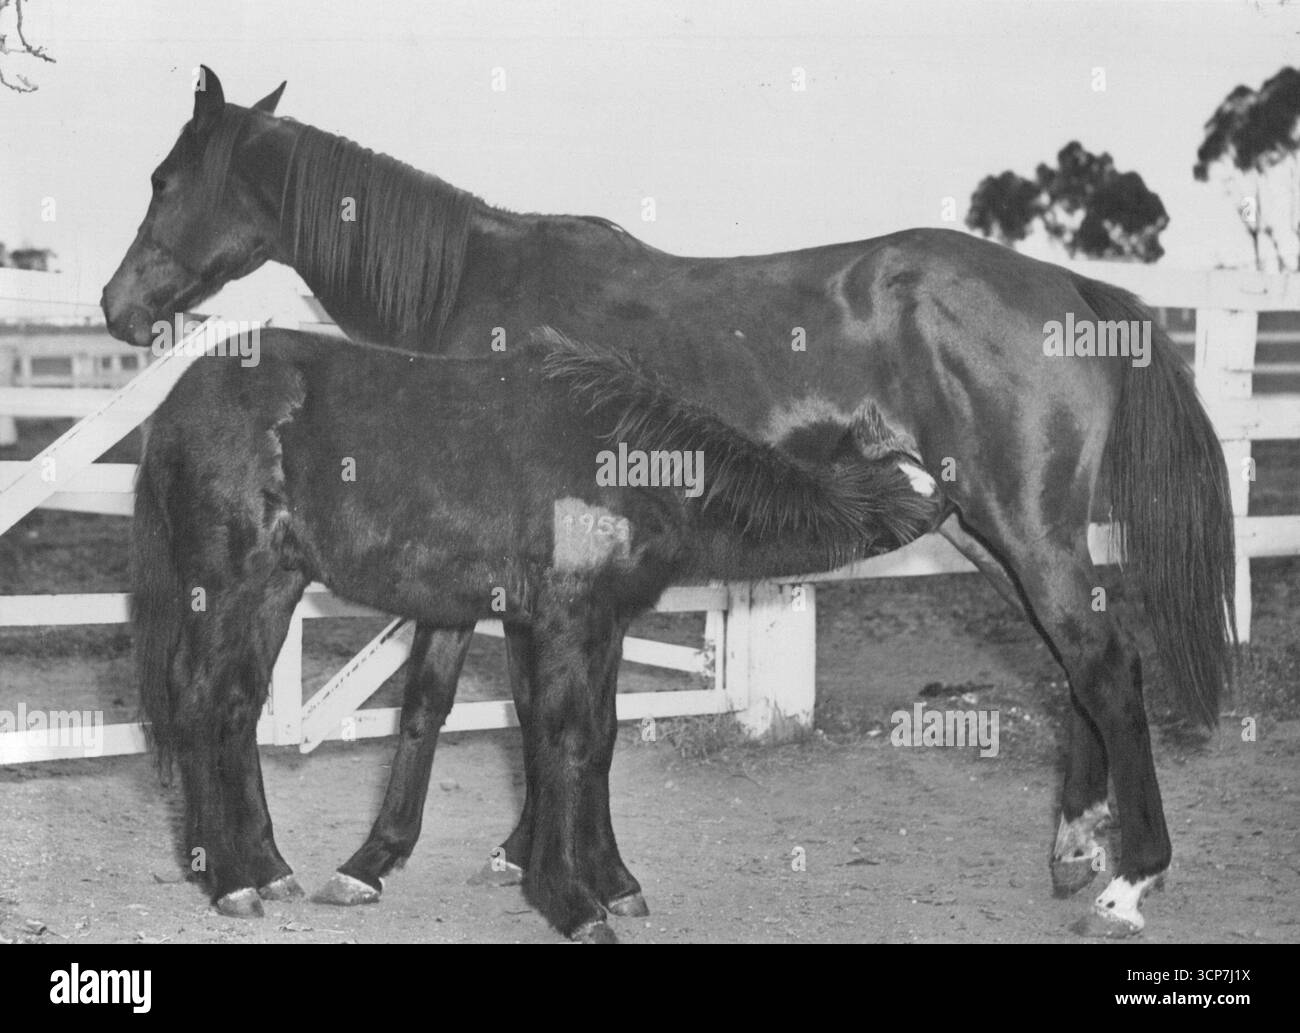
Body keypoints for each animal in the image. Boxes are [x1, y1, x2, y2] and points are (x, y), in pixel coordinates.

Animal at [132, 325, 942, 941]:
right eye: (915, 492)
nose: (958, 512)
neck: (625, 461)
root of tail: (177, 406)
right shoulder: (565, 619)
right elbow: (564, 737)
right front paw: (571, 897)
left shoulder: (591, 623)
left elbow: (593, 737)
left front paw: (610, 878)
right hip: (230, 586)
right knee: (200, 700)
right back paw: (228, 880)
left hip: (275, 588)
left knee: (236, 707)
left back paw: (268, 868)